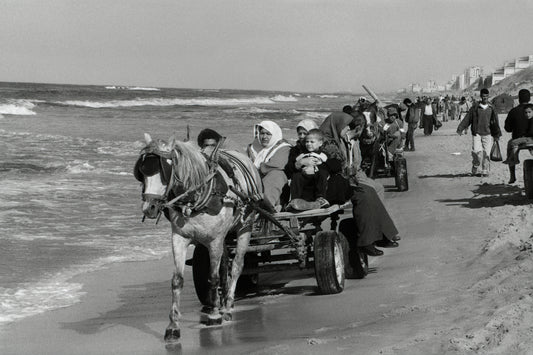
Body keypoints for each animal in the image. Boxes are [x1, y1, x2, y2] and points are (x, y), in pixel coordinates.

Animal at [134, 134, 262, 342]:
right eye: (142, 172)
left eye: (164, 172)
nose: (149, 208)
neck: (196, 197)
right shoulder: (179, 238)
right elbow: (177, 280)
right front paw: (173, 326)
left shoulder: (215, 241)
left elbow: (213, 277)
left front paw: (214, 316)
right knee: (225, 268)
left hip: (245, 227)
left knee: (236, 266)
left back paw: (226, 308)